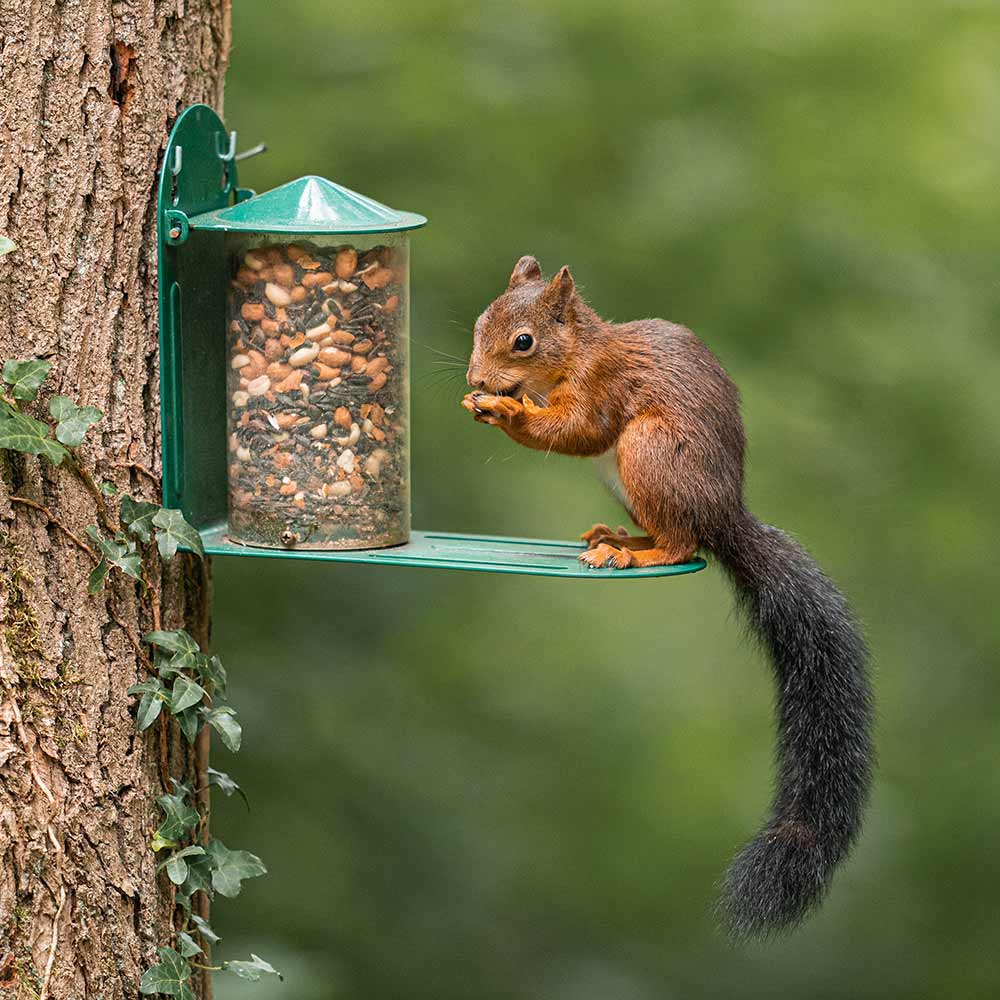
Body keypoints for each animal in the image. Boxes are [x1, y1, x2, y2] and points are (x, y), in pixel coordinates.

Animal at [461, 255, 874, 938]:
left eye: (522, 341)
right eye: (477, 324)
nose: (474, 379)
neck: (577, 354)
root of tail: (725, 516)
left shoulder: (604, 387)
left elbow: (577, 428)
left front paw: (503, 410)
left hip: (651, 451)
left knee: (684, 546)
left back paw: (635, 553)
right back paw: (618, 537)